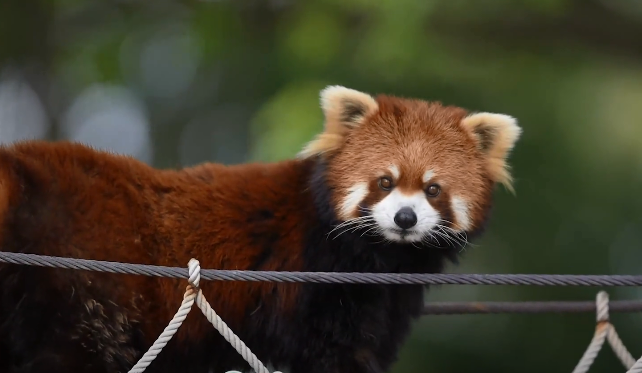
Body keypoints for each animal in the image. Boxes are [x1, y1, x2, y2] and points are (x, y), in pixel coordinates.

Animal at [0, 85, 520, 370]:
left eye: (433, 189)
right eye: (385, 181)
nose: (405, 218)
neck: (383, 256)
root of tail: (26, 167)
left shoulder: (388, 298)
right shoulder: (318, 279)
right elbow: (334, 353)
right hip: (87, 279)